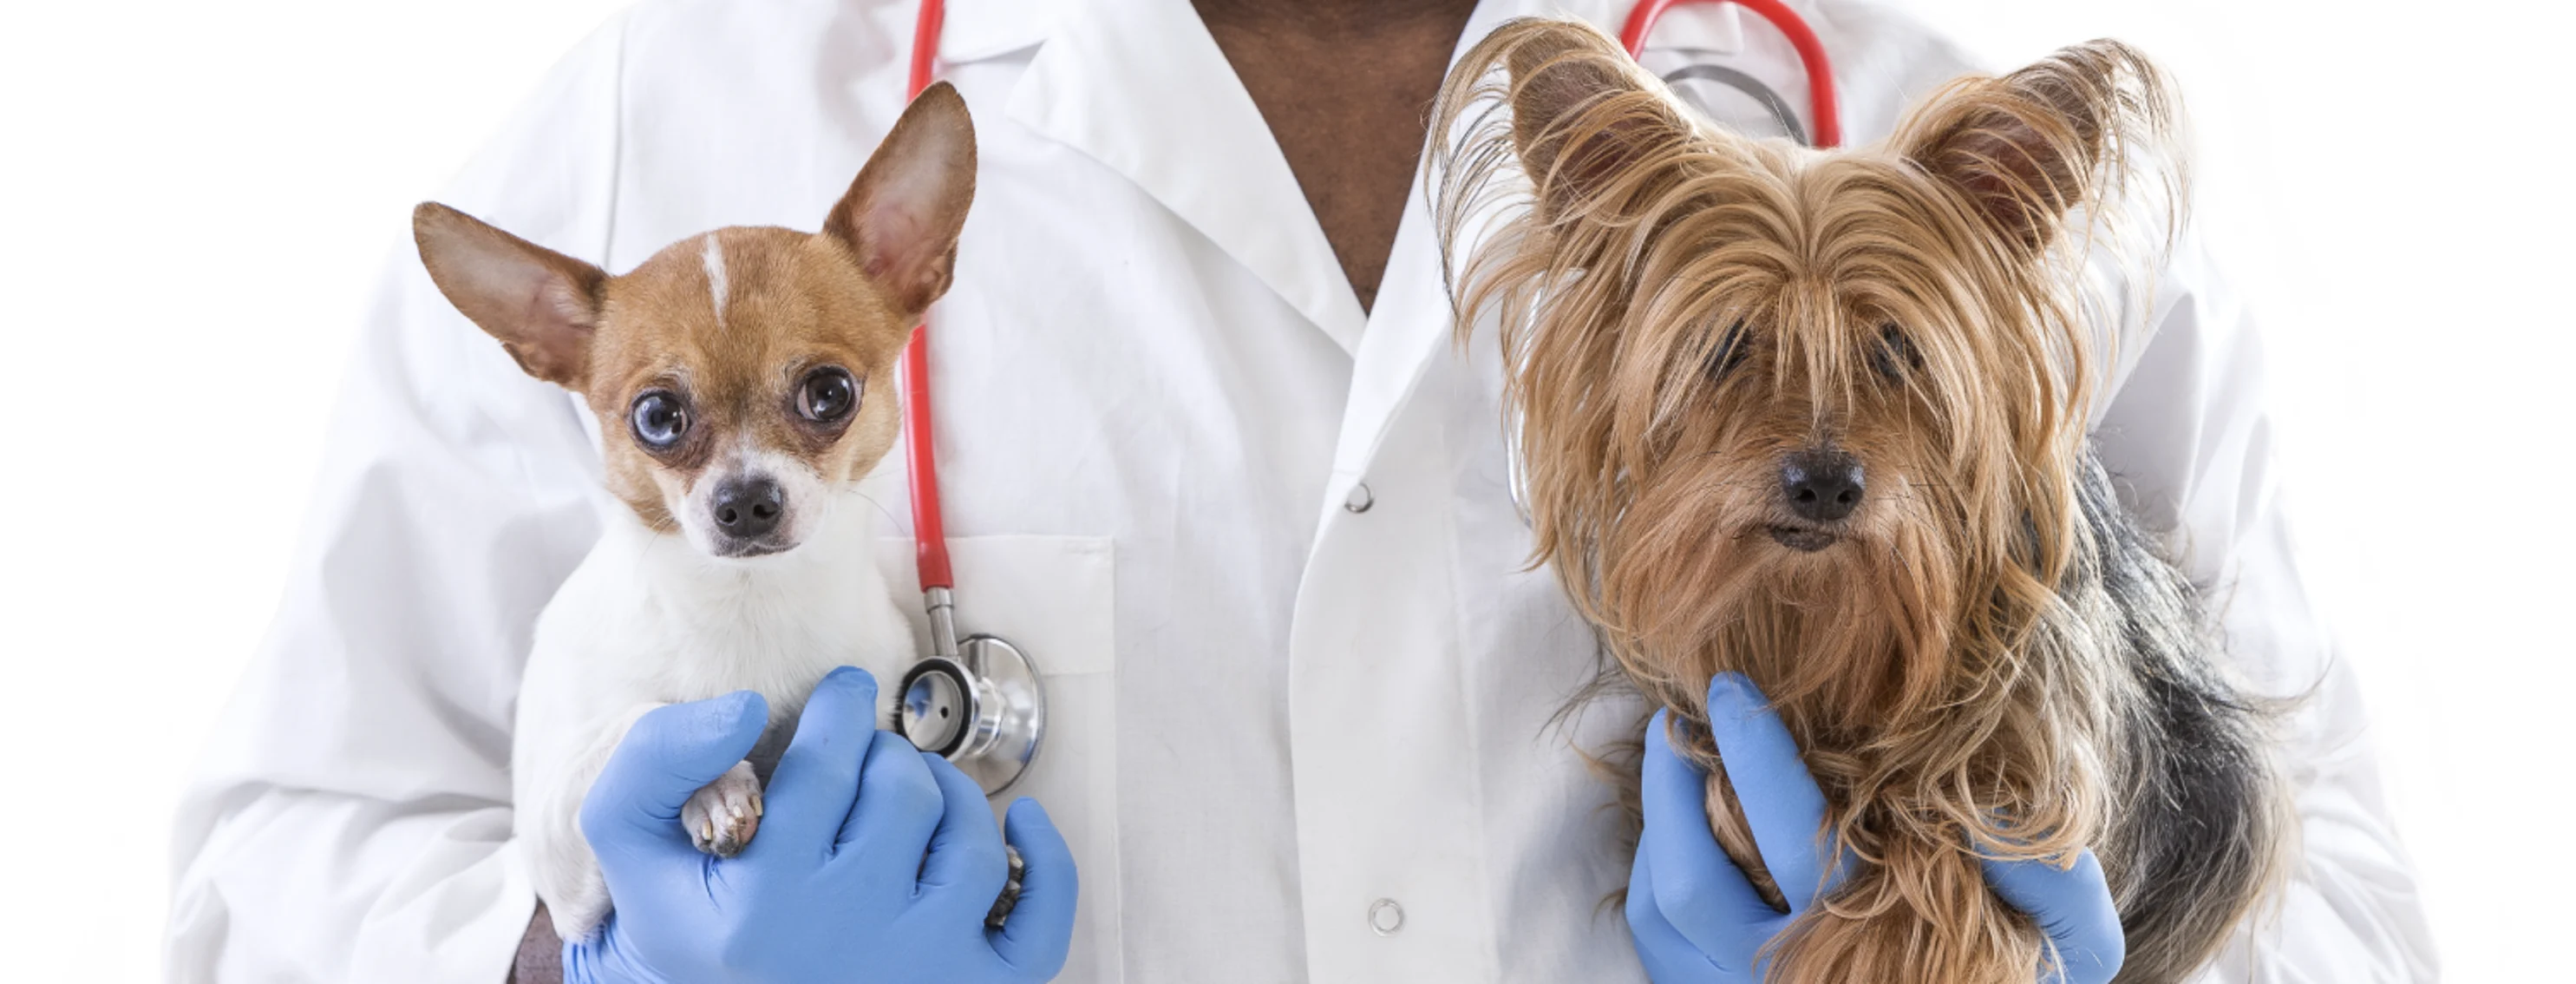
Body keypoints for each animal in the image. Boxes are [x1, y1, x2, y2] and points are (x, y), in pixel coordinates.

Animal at [412, 82, 973, 937]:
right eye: (656, 417)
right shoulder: (555, 855)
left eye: (830, 393)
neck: (749, 608)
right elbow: (641, 722)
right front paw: (714, 786)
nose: (745, 501)